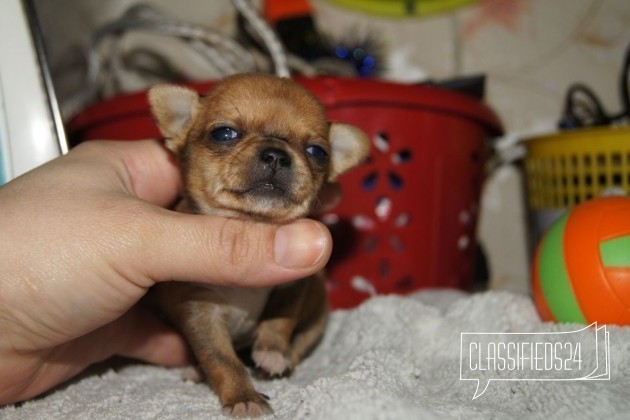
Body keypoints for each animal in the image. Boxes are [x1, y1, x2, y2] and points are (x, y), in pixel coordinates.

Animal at [149, 73, 370, 416]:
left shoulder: (293, 286)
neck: (253, 224)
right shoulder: (201, 312)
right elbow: (221, 360)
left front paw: (272, 351)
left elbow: (280, 320)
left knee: (301, 343)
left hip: (318, 317)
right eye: (224, 133)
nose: (277, 154)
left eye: (317, 151)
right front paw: (244, 397)